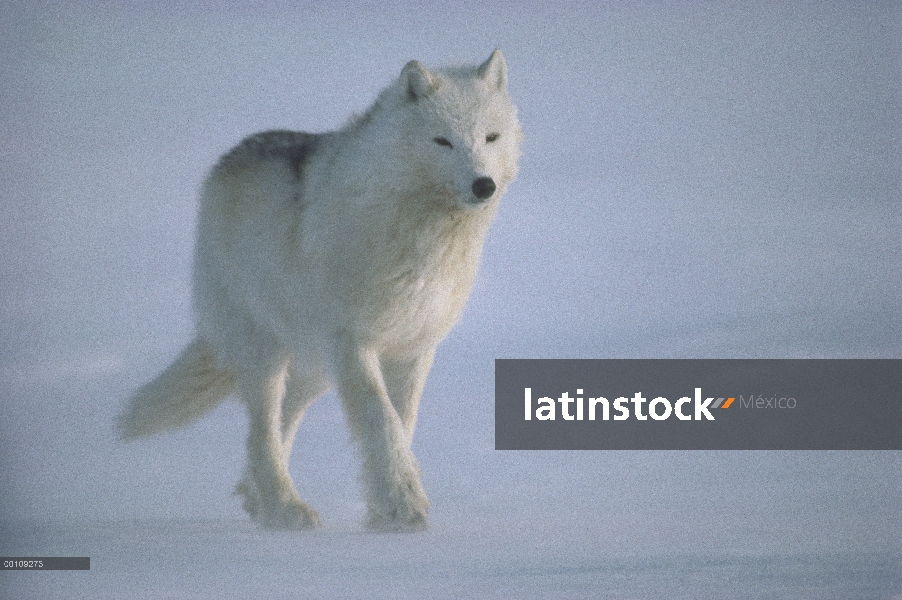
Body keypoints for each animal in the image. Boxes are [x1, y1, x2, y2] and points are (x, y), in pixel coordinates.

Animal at [120, 50, 524, 528]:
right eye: (442, 141)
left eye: (490, 137)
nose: (484, 185)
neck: (420, 233)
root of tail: (225, 162)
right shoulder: (353, 343)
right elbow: (381, 420)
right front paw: (403, 504)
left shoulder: (414, 348)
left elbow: (402, 422)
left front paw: (385, 510)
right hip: (267, 353)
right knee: (261, 431)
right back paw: (284, 508)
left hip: (313, 369)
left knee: (280, 424)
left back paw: (258, 500)